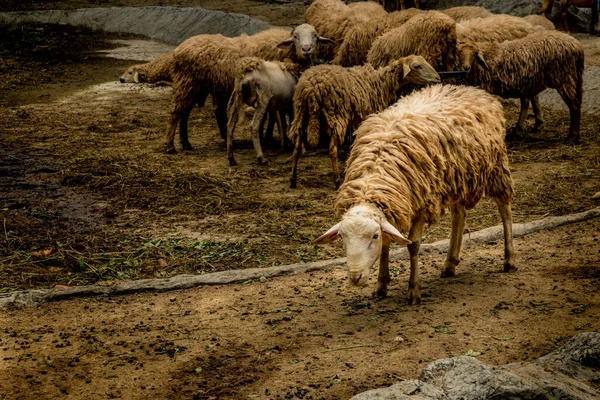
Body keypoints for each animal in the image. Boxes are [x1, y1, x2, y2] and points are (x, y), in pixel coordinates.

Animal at [162, 23, 336, 153]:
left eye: (315, 35)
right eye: (295, 36)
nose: (307, 49)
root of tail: (178, 50)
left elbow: (270, 117)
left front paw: (268, 137)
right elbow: (271, 117)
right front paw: (269, 138)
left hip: (195, 87)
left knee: (184, 114)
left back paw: (185, 143)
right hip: (186, 84)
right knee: (175, 113)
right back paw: (170, 145)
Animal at [288, 54, 438, 189]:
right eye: (417, 66)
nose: (437, 78)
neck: (380, 82)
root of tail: (311, 87)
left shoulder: (358, 120)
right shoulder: (369, 114)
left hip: (301, 113)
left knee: (297, 146)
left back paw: (293, 180)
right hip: (336, 114)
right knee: (332, 149)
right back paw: (337, 181)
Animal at [314, 83, 516, 304]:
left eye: (374, 236)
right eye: (342, 237)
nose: (355, 277)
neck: (374, 179)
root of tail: (471, 89)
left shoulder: (422, 203)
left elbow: (413, 245)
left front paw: (414, 290)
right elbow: (388, 244)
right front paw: (381, 286)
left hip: (496, 166)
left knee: (504, 208)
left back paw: (509, 260)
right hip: (457, 177)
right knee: (459, 215)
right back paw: (450, 263)